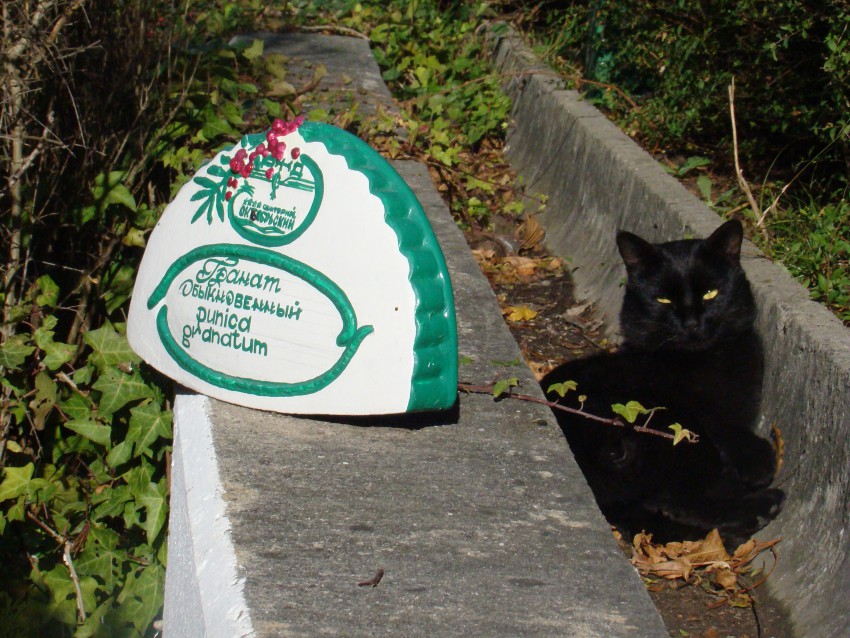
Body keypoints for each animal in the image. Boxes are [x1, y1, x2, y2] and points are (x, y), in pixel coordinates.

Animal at [541, 220, 783, 548]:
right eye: (663, 299)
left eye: (710, 293)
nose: (691, 324)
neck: (703, 361)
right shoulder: (705, 418)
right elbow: (725, 427)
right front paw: (756, 462)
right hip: (674, 428)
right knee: (681, 500)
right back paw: (761, 507)